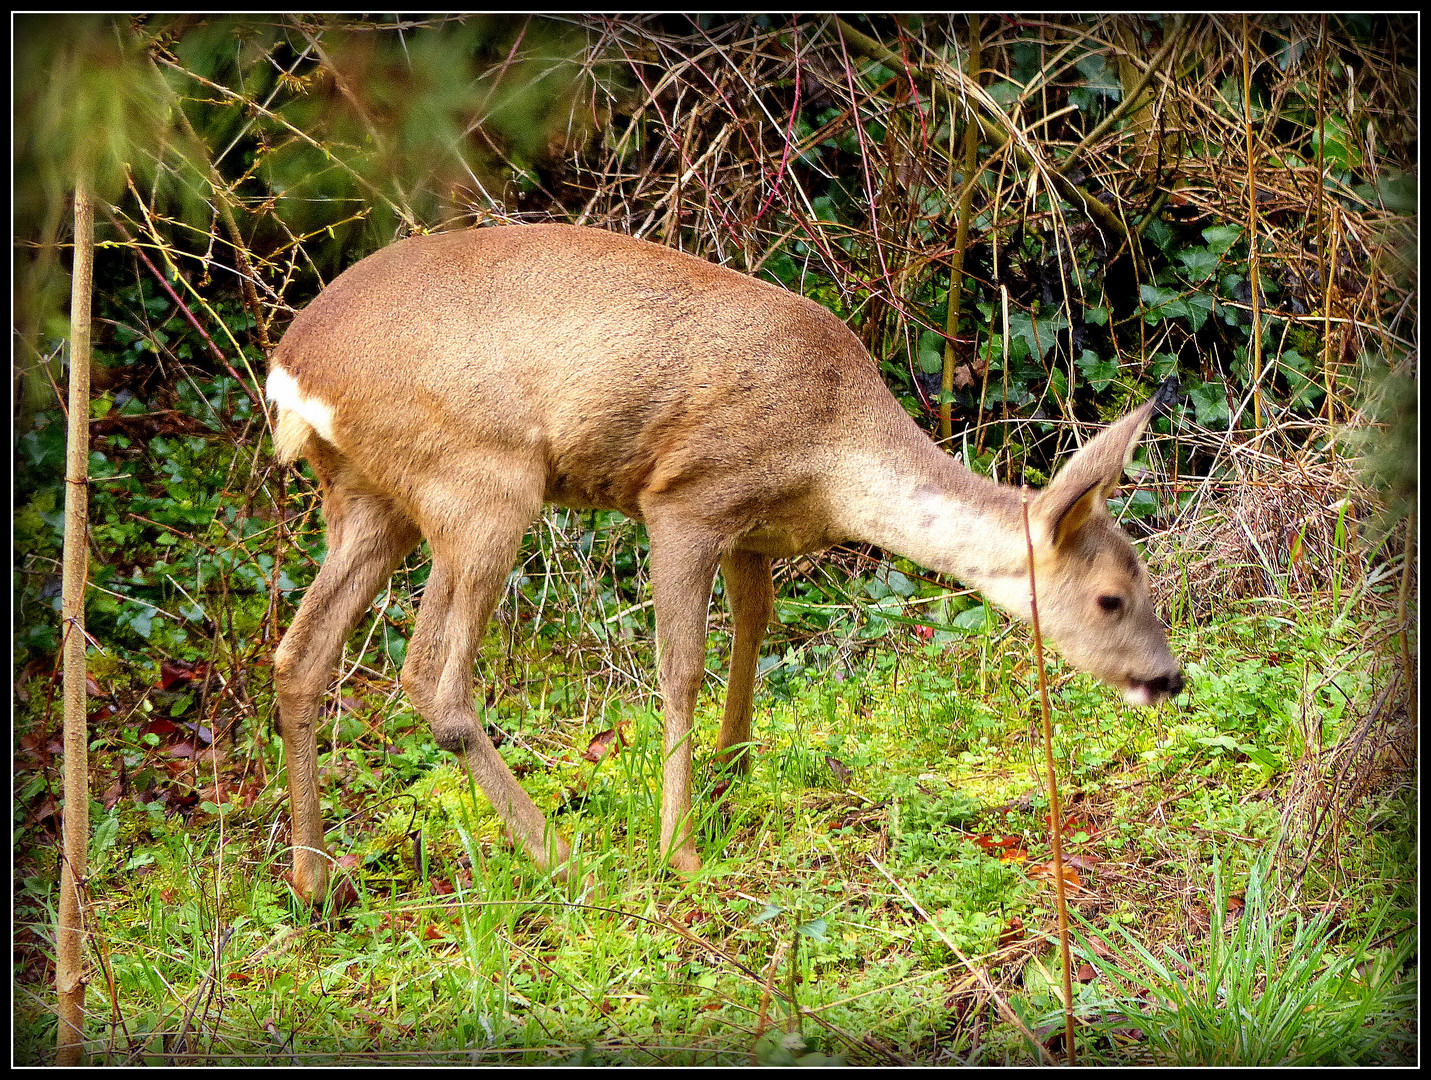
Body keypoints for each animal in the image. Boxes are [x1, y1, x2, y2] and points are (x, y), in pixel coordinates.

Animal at [269, 226, 1184, 904]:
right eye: (1109, 598)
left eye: (1147, 584)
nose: (1167, 679)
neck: (831, 453)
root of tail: (291, 370)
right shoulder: (687, 498)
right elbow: (681, 667)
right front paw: (680, 849)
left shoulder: (753, 530)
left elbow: (754, 625)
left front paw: (730, 768)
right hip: (478, 482)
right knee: (431, 676)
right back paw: (564, 860)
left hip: (369, 498)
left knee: (299, 654)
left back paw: (316, 882)